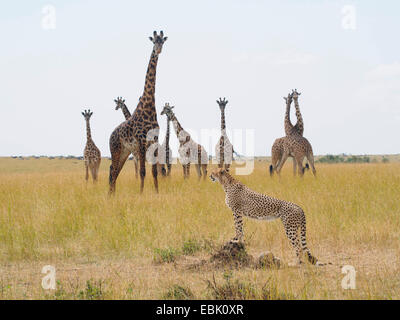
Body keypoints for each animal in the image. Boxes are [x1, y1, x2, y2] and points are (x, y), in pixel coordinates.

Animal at [108, 31, 167, 194]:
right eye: (154, 41)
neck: (149, 106)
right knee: (112, 170)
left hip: (124, 152)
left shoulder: (154, 141)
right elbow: (142, 172)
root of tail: (110, 136)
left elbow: (154, 172)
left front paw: (157, 193)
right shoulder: (141, 142)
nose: (158, 49)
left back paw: (112, 195)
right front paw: (141, 194)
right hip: (115, 150)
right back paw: (110, 195)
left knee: (115, 171)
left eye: (163, 41)